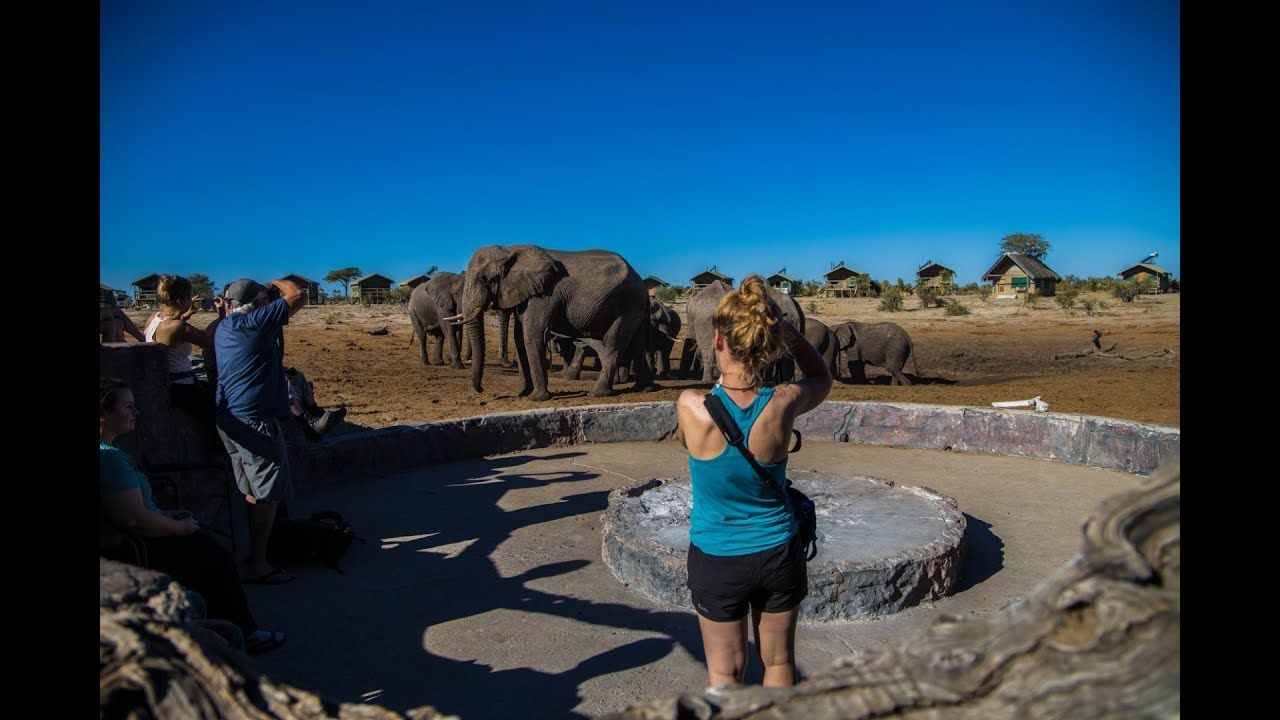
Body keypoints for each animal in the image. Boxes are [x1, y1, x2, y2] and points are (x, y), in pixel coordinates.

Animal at [456, 245, 657, 400]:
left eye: (484, 279)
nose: (482, 390)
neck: (508, 249)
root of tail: (641, 281)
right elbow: (519, 339)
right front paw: (523, 394)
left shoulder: (544, 295)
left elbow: (533, 335)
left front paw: (536, 398)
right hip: (635, 306)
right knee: (636, 344)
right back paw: (644, 388)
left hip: (626, 303)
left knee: (614, 343)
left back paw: (597, 393)